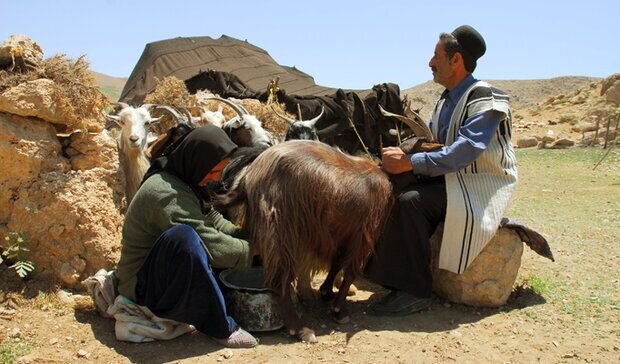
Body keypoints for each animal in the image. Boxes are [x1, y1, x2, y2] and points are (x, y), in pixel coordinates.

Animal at [224, 139, 392, 342]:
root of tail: (250, 176)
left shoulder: (340, 232)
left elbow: (336, 262)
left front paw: (326, 292)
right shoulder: (363, 234)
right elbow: (350, 271)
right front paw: (339, 310)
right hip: (281, 231)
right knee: (278, 281)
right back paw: (300, 329)